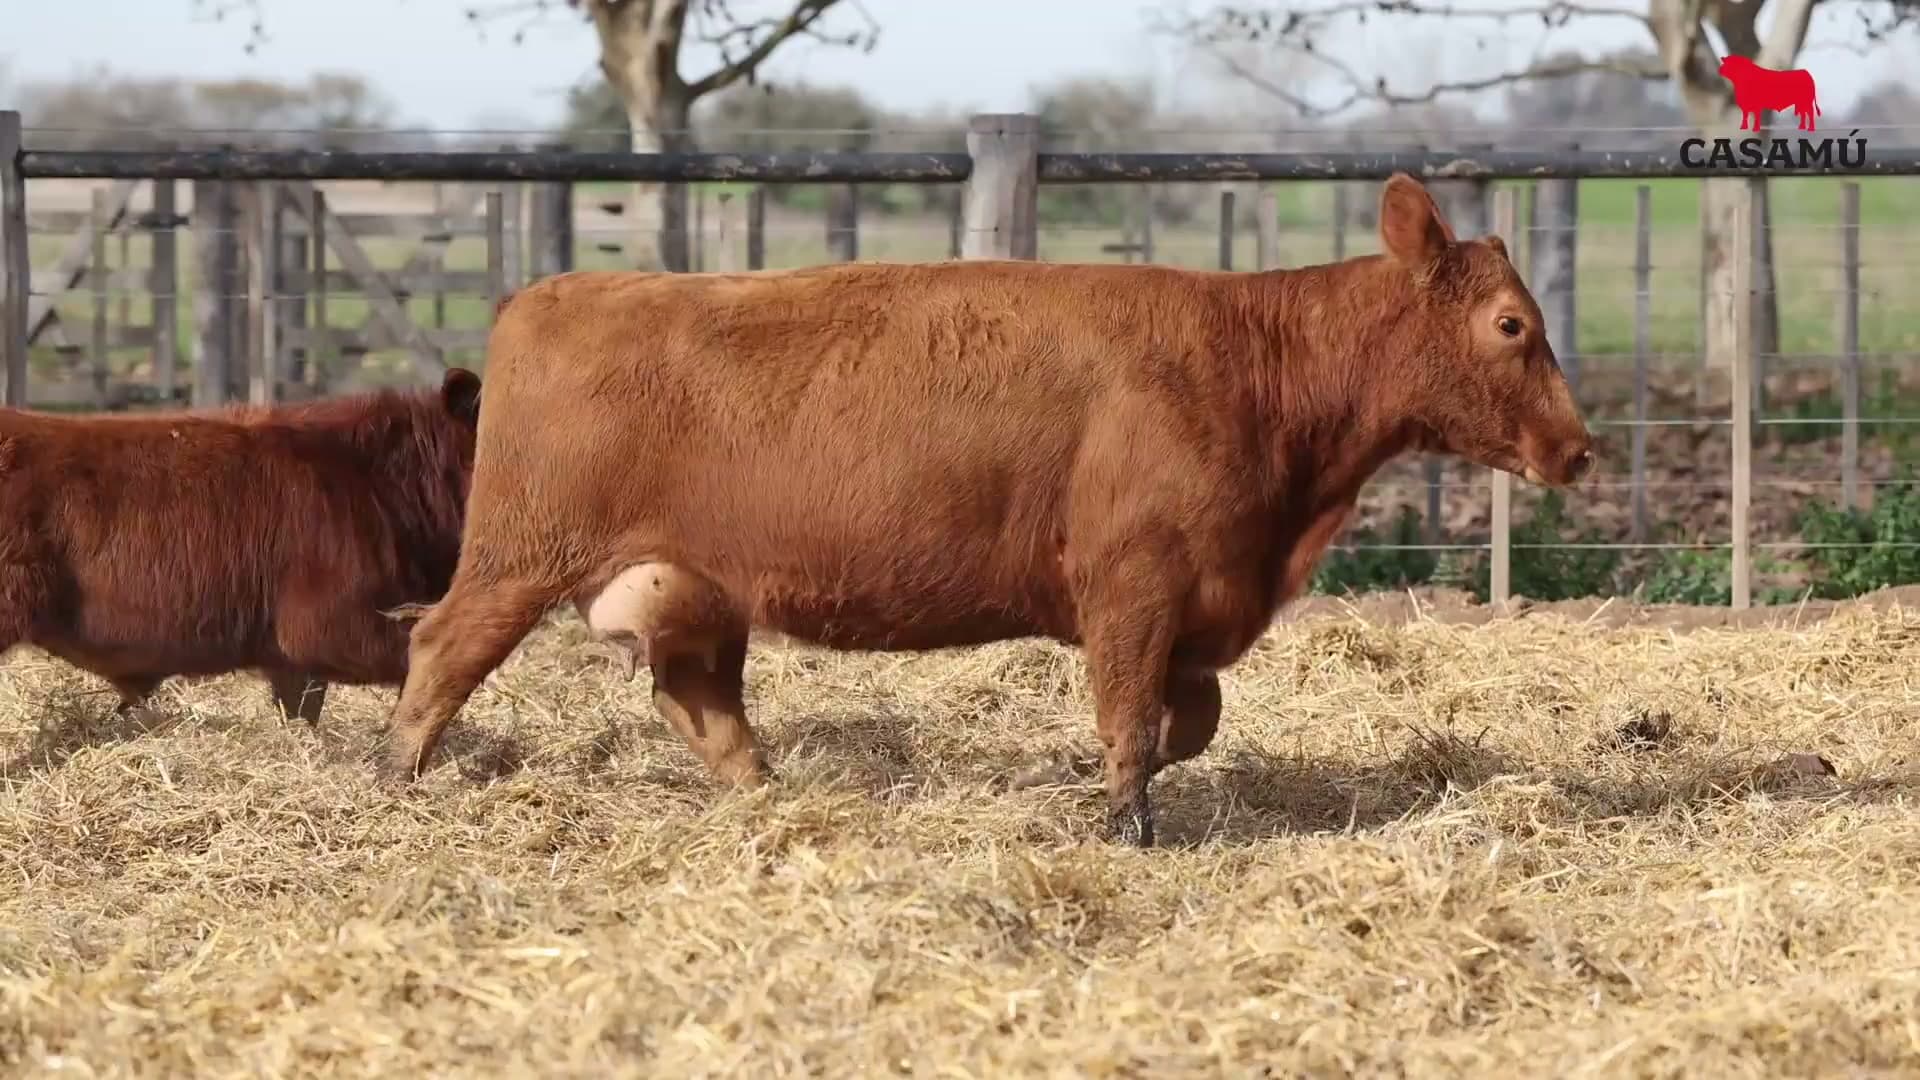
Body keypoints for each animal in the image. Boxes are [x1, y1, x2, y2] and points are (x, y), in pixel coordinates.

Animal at [378, 172, 1594, 847]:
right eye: (1511, 327)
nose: (1581, 450)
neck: (1252, 367)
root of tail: (548, 295)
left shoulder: (1190, 607)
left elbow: (1188, 722)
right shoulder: (1133, 590)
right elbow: (1135, 723)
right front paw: (1125, 826)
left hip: (694, 591)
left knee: (703, 702)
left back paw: (769, 796)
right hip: (519, 559)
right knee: (440, 650)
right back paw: (394, 779)